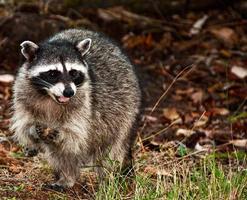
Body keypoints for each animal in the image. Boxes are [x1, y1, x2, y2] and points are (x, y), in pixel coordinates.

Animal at [10, 28, 141, 191]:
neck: (49, 97)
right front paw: (32, 132)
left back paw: (107, 180)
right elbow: (24, 124)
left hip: (126, 110)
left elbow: (75, 134)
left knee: (110, 151)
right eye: (52, 73)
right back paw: (67, 177)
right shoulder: (23, 93)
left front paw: (60, 133)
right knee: (62, 155)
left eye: (73, 72)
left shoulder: (84, 103)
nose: (69, 92)